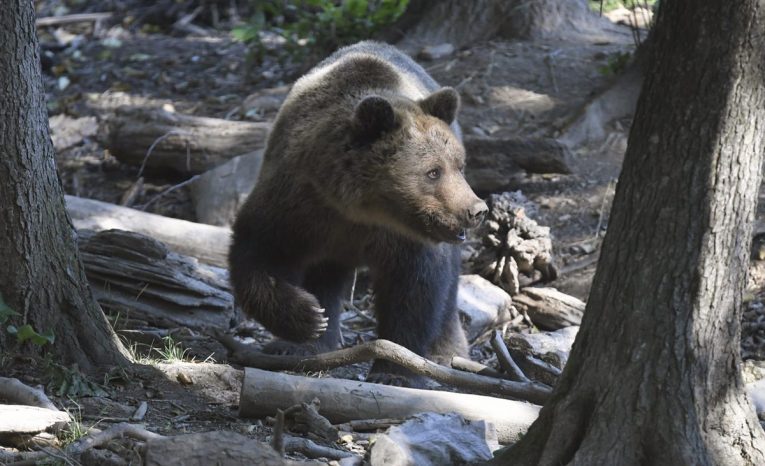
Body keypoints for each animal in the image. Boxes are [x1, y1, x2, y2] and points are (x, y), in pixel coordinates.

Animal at [230, 41, 486, 386]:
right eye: (433, 171)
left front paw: (395, 371)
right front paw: (308, 319)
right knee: (324, 274)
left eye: (459, 165)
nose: (476, 210)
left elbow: (415, 291)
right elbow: (257, 253)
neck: (359, 208)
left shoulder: (405, 240)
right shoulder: (295, 205)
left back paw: (447, 351)